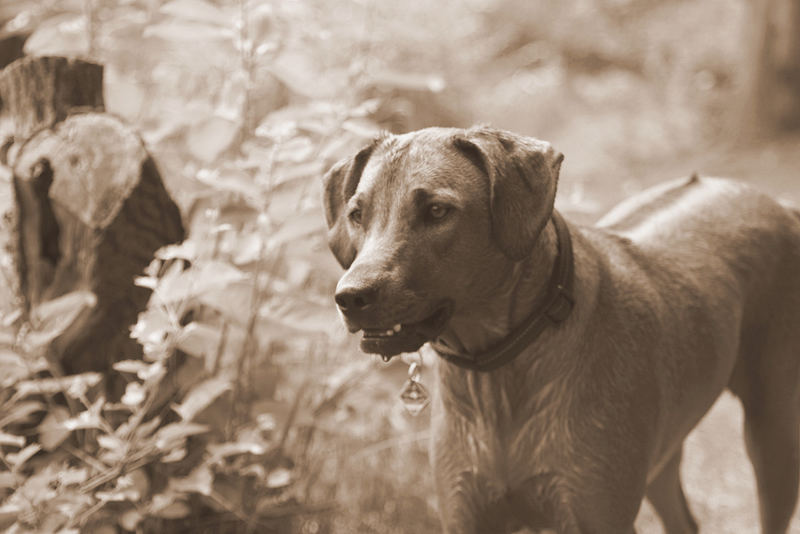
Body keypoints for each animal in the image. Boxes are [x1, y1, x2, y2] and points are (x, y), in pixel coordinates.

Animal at [320, 126, 800, 534]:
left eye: (437, 211)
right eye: (356, 214)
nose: (351, 297)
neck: (499, 369)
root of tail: (779, 203)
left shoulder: (595, 516)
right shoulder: (464, 511)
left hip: (774, 433)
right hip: (664, 450)